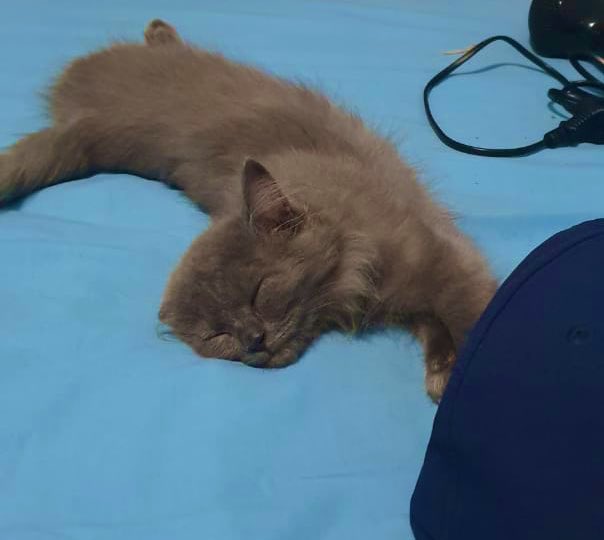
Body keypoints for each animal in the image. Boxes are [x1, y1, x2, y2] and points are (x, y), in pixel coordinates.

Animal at [0, 19, 497, 402]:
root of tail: (76, 92)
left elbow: (467, 314)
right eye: (217, 335)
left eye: (261, 291)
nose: (254, 340)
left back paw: (157, 31)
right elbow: (437, 324)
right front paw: (446, 373)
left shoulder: (439, 257)